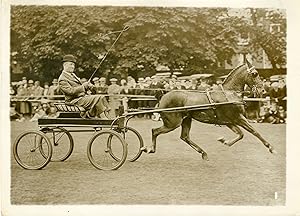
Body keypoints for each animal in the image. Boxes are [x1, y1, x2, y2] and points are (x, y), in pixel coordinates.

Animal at [142, 59, 278, 160]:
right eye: (255, 73)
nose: (262, 90)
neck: (229, 93)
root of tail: (163, 96)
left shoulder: (229, 121)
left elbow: (240, 134)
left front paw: (224, 141)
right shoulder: (238, 118)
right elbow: (254, 132)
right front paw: (271, 147)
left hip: (186, 120)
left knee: (185, 137)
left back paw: (203, 153)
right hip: (173, 123)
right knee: (155, 131)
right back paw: (149, 148)